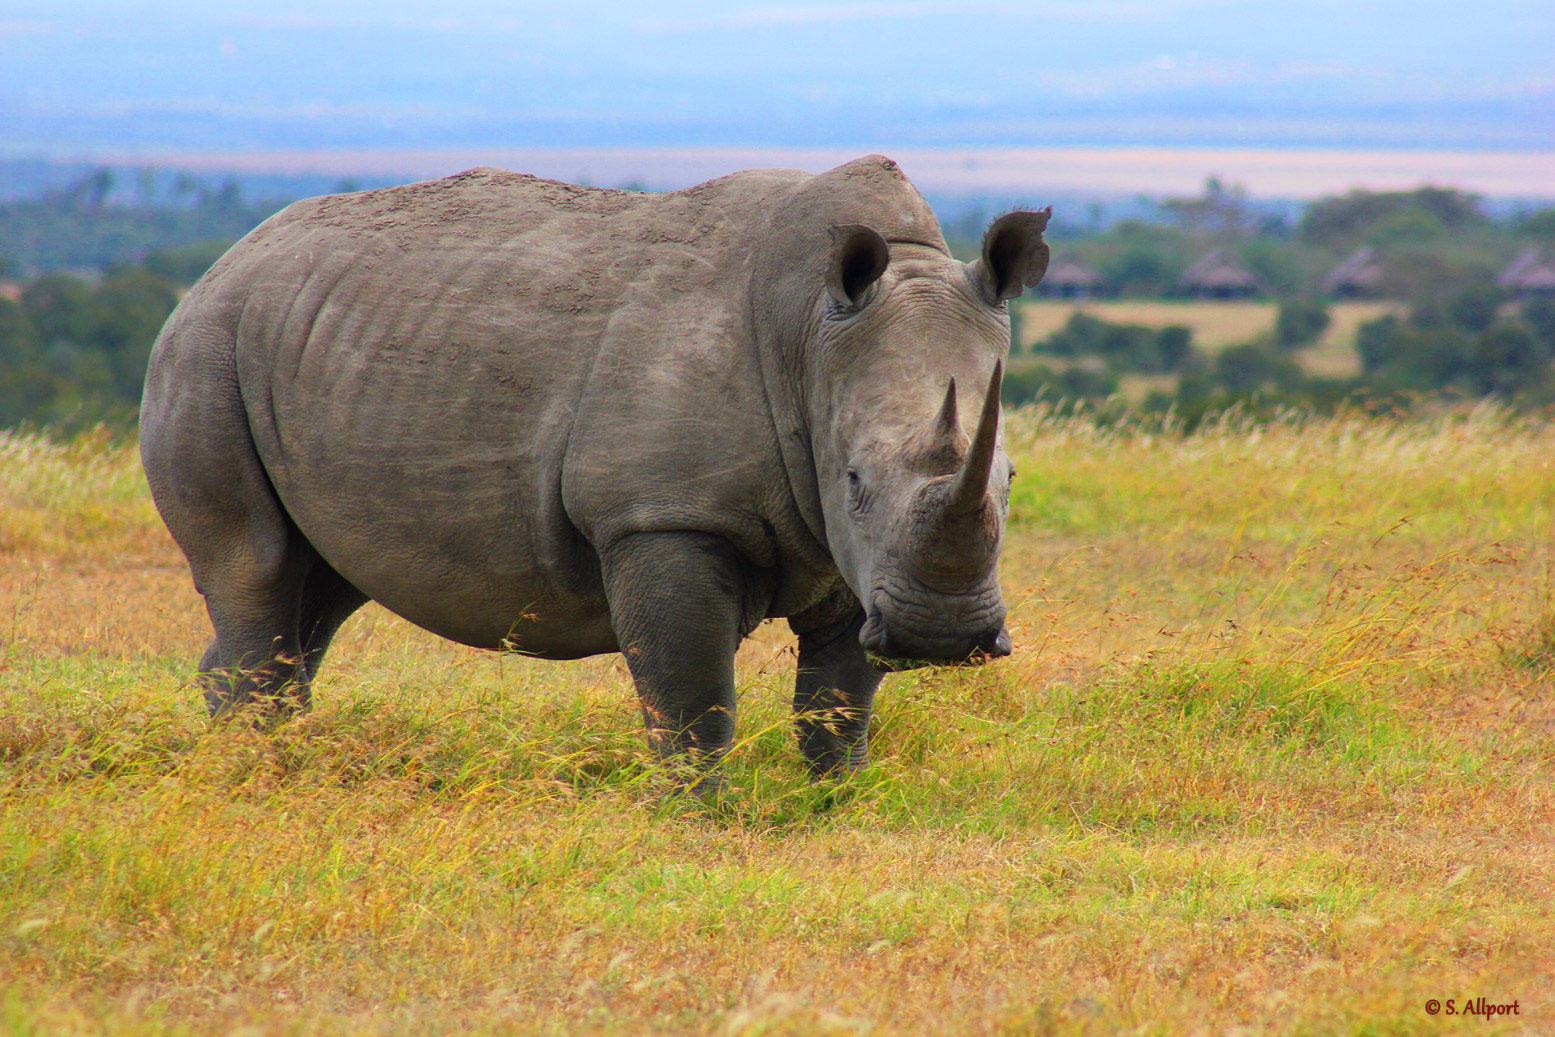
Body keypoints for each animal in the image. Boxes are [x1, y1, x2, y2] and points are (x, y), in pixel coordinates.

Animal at [140, 154, 1049, 780]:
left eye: (1008, 481)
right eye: (857, 479)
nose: (945, 637)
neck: (810, 339)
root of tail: (225, 259)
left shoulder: (848, 551)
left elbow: (837, 702)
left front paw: (841, 798)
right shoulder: (663, 515)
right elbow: (690, 697)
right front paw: (695, 816)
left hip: (306, 346)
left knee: (322, 587)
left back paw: (272, 758)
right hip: (207, 346)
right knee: (256, 566)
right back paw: (261, 772)